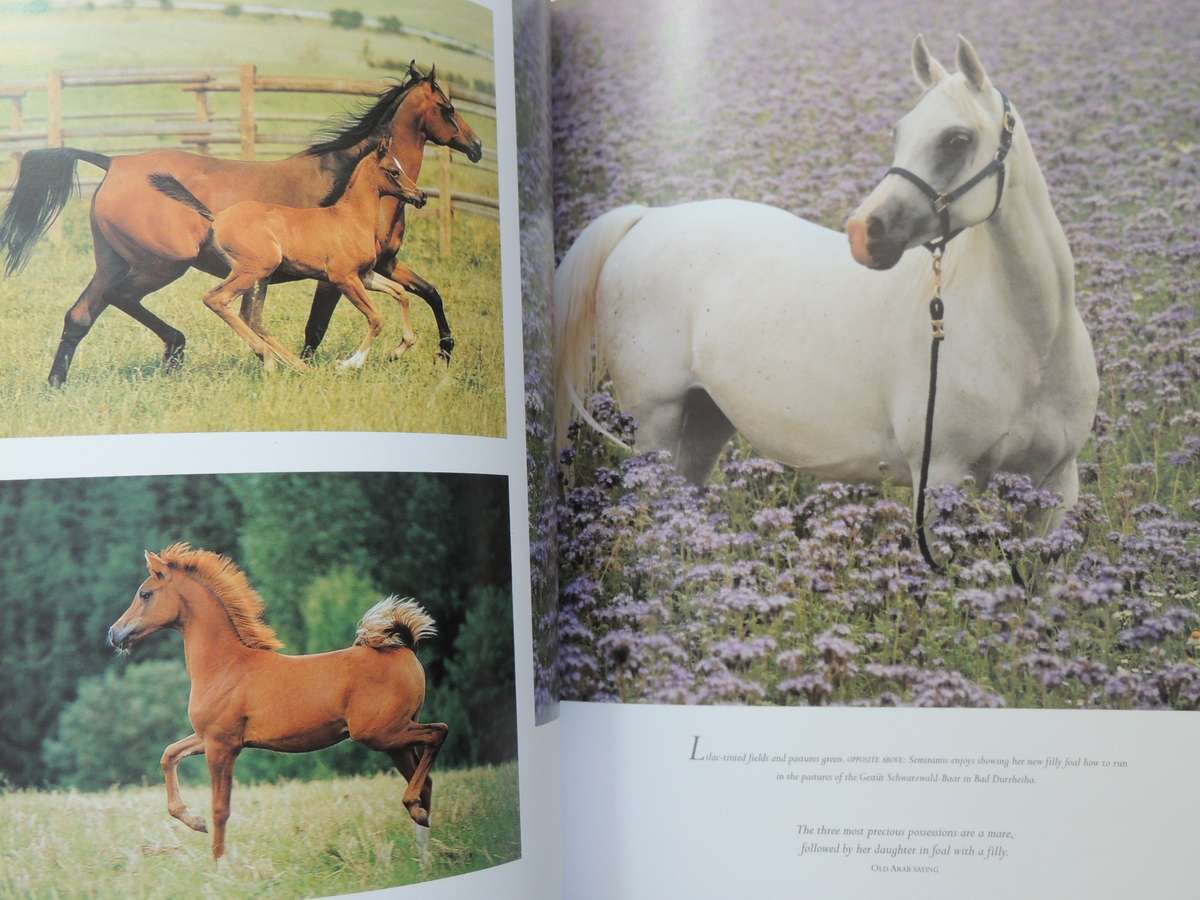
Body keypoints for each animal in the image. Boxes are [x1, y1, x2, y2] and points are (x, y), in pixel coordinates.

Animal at [106, 544, 448, 862]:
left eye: (145, 594)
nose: (113, 633)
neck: (225, 666)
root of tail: (406, 647)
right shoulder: (209, 738)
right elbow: (169, 755)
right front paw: (195, 822)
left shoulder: (221, 744)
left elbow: (220, 808)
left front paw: (218, 864)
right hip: (394, 741)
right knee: (427, 782)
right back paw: (424, 855)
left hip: (382, 733)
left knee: (438, 733)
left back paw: (415, 814)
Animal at [151, 139, 428, 370]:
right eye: (393, 171)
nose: (421, 196)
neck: (351, 217)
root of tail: (217, 217)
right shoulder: (343, 278)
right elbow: (376, 317)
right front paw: (350, 363)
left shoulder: (365, 276)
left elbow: (401, 293)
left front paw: (399, 349)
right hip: (255, 269)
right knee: (216, 299)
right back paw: (271, 359)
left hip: (260, 276)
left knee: (252, 318)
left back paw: (298, 366)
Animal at [554, 35, 1098, 538]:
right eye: (899, 132)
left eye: (956, 139)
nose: (863, 232)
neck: (1030, 341)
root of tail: (647, 217)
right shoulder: (941, 478)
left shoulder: (1053, 487)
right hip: (655, 423)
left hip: (705, 419)